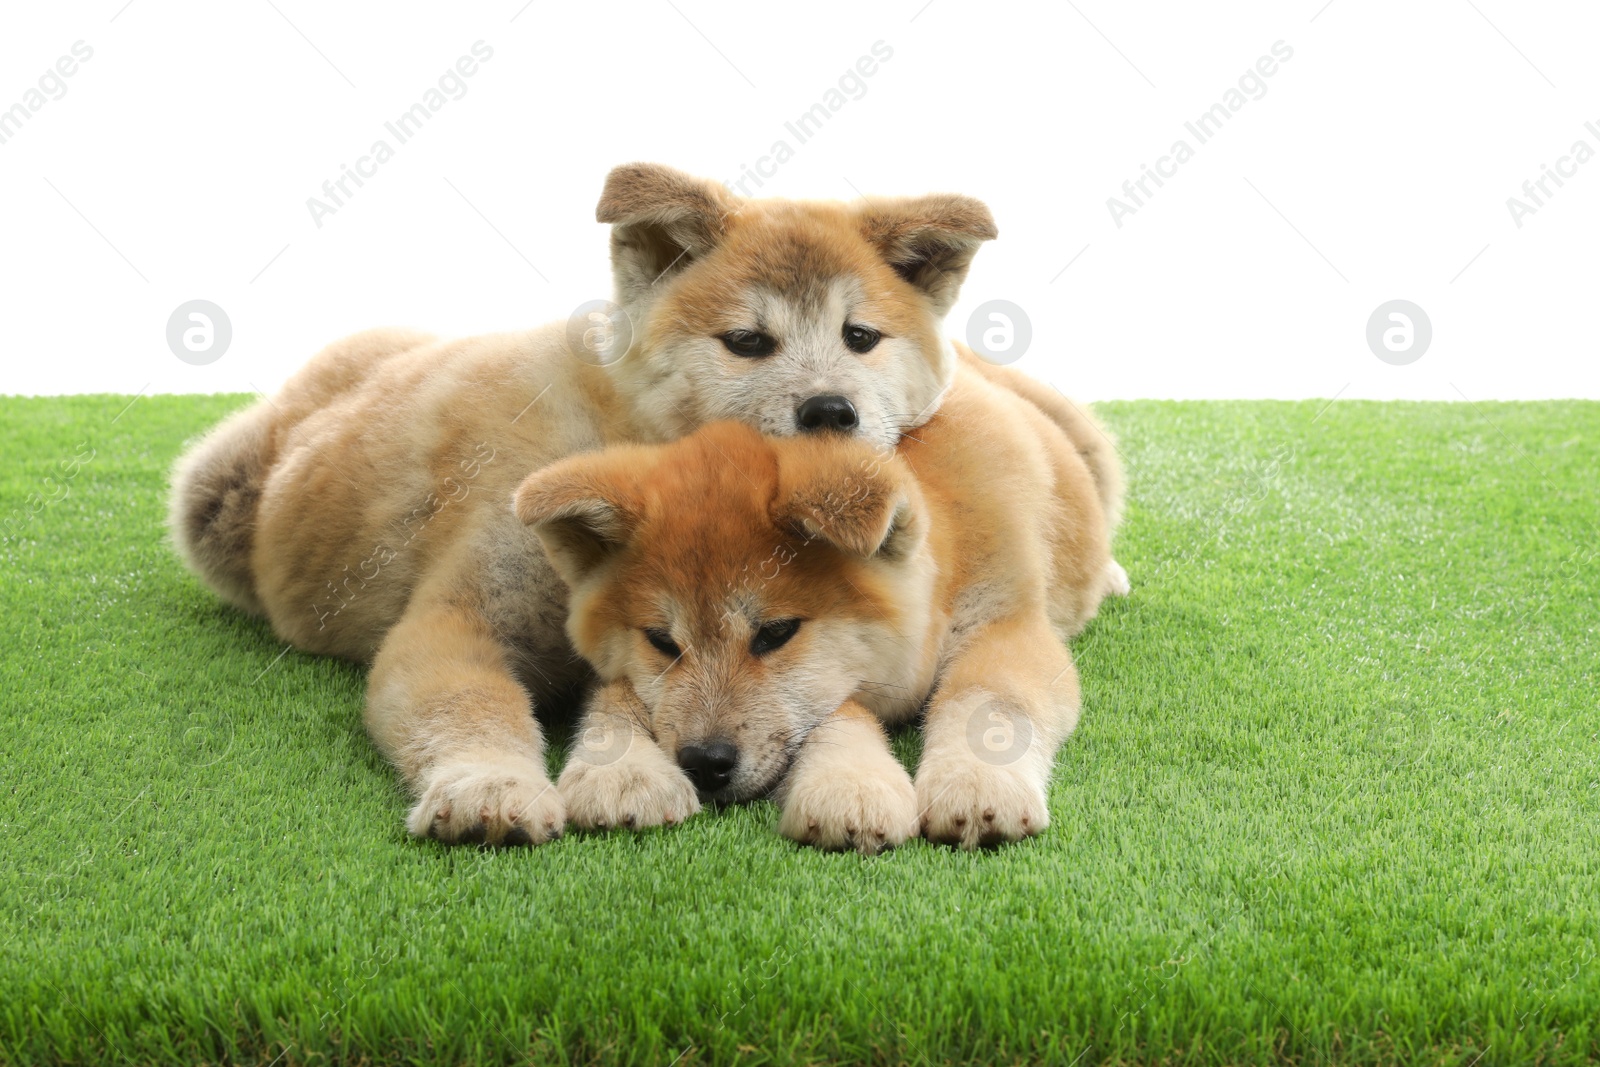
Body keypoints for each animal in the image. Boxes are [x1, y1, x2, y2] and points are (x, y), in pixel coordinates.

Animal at [524, 363, 1126, 857]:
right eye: (661, 642)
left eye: (775, 633)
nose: (705, 761)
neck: (949, 546)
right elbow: (618, 694)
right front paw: (620, 769)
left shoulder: (1007, 622)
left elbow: (991, 702)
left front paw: (975, 783)